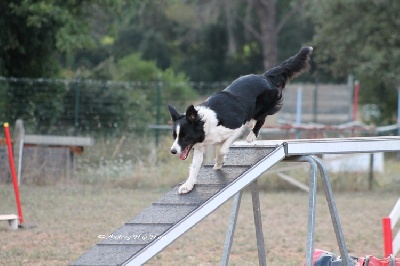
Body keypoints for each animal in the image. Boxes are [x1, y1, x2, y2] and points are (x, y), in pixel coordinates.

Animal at [169, 46, 312, 193]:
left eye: (185, 137)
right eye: (175, 136)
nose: (173, 151)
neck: (204, 123)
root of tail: (264, 76)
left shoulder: (236, 128)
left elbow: (222, 150)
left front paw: (219, 163)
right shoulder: (199, 145)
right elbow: (194, 167)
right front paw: (188, 185)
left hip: (261, 108)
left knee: (261, 119)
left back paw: (251, 136)